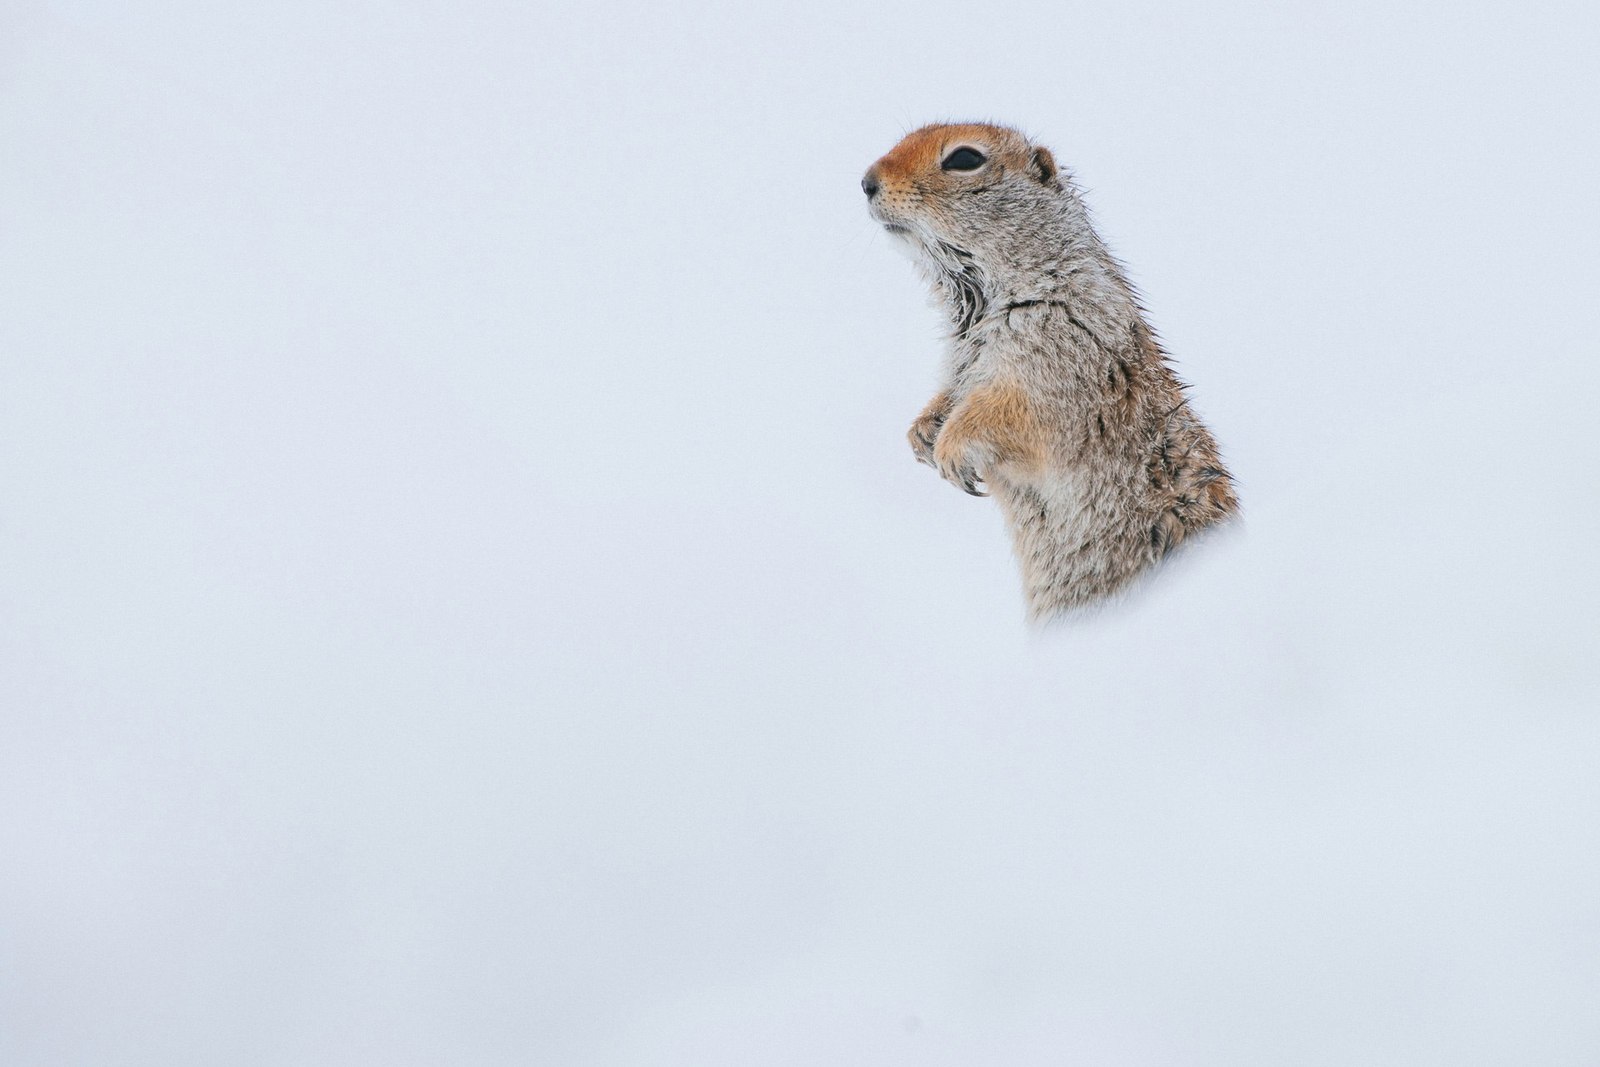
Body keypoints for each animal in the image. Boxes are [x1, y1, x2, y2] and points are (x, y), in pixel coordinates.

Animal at [864, 123, 1235, 627]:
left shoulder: (1061, 356)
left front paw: (950, 448)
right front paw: (922, 431)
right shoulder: (963, 363)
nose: (867, 182)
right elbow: (950, 392)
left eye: (964, 158)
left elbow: (1014, 413)